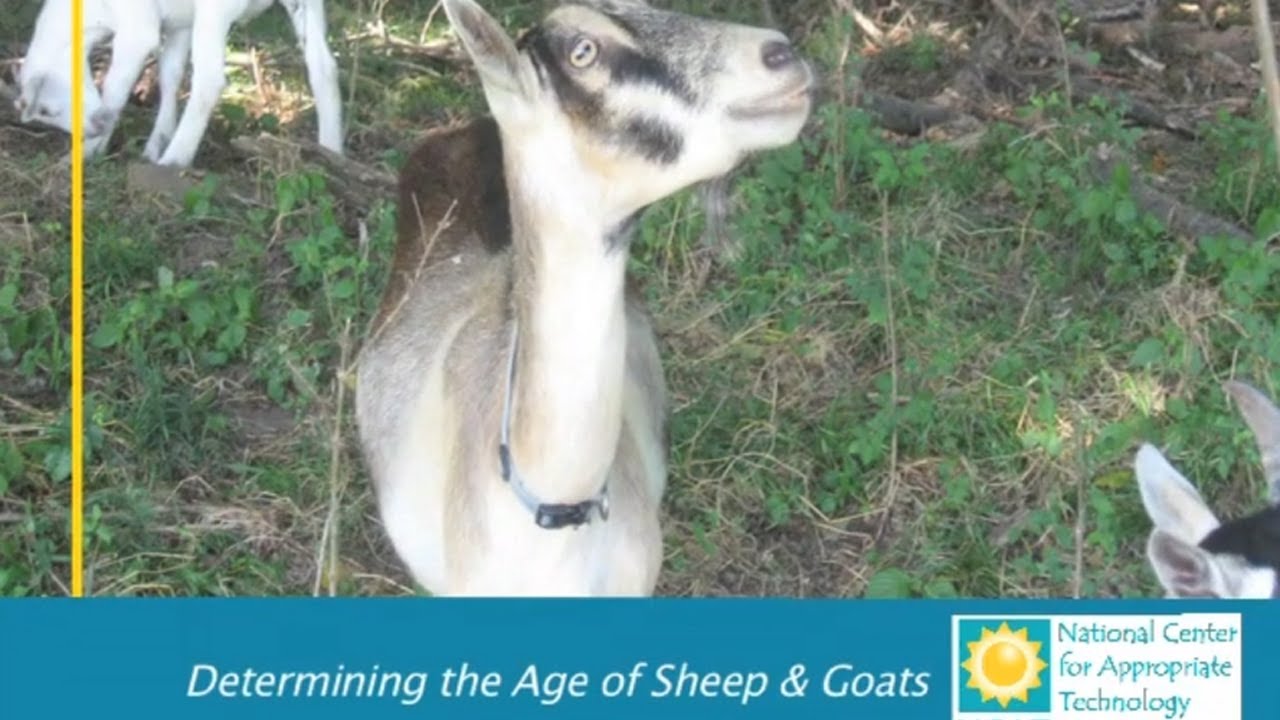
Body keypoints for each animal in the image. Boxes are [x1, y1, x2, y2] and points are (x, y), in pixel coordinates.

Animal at [15, 0, 342, 166]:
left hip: (215, 9)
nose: (94, 127)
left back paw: (175, 159)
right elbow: (170, 74)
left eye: (46, 110)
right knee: (323, 67)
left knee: (210, 81)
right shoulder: (179, 24)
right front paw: (154, 144)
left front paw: (90, 151)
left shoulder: (138, 30)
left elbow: (115, 87)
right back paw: (332, 153)